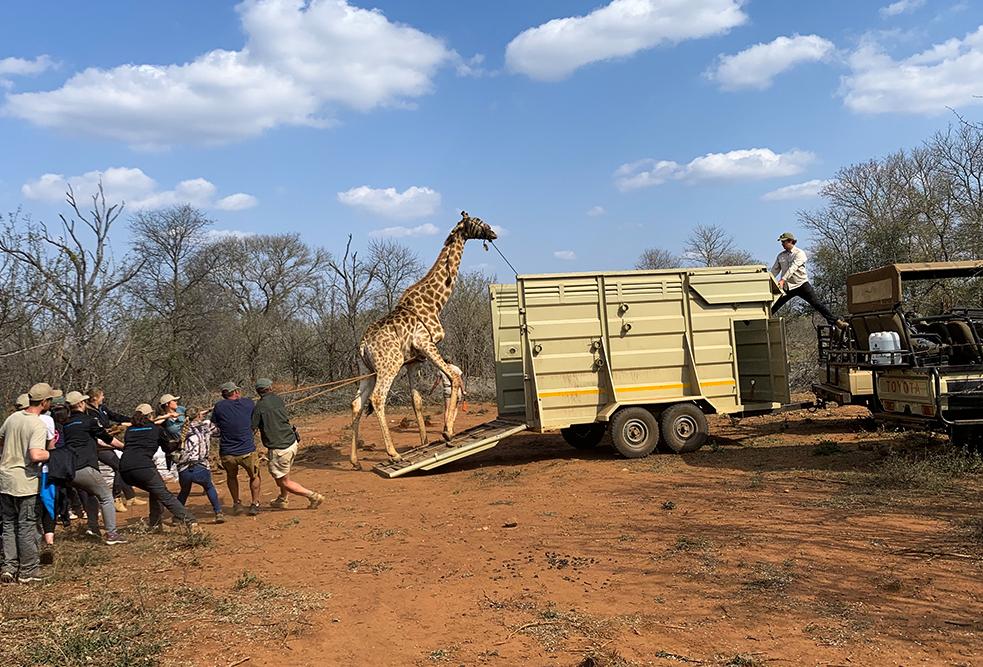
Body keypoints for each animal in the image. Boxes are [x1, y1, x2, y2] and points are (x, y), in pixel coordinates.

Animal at [349, 211, 498, 469]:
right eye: (477, 221)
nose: (494, 233)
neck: (434, 302)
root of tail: (363, 345)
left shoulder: (414, 360)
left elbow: (416, 399)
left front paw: (425, 442)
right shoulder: (426, 344)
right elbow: (454, 378)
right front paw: (447, 433)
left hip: (367, 370)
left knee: (357, 404)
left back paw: (355, 460)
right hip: (388, 366)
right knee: (378, 399)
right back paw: (393, 454)